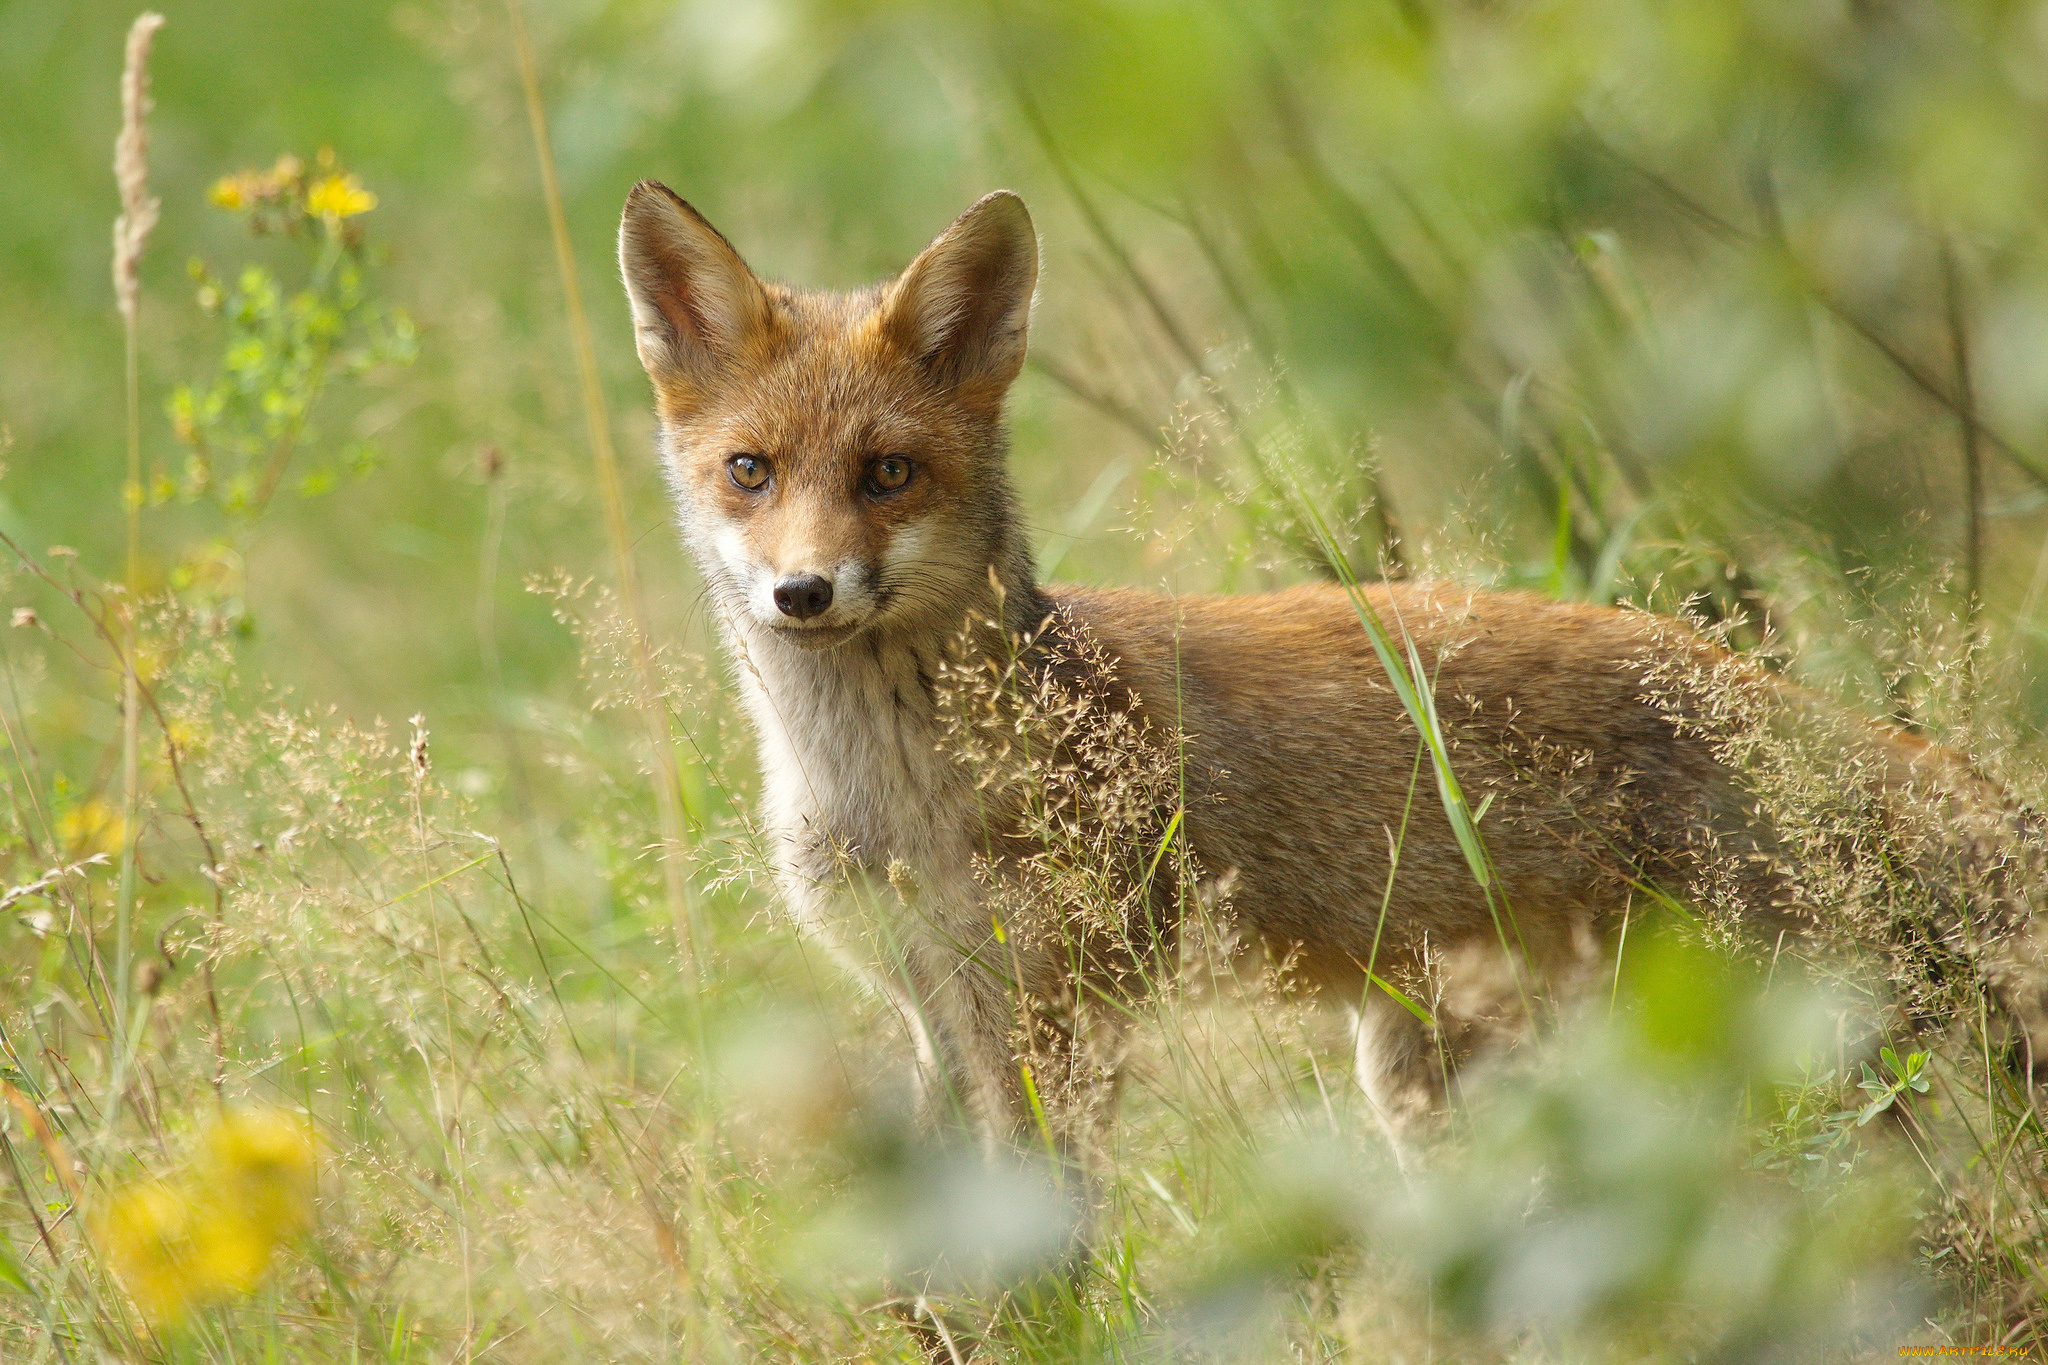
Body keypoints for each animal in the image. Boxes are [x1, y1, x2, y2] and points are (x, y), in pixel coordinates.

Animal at [614, 179, 2048, 1162]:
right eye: (750, 471)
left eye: (887, 474)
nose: (803, 592)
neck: (883, 787)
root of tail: (1752, 692)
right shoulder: (926, 1002)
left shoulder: (1056, 1014)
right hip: (1422, 1074)